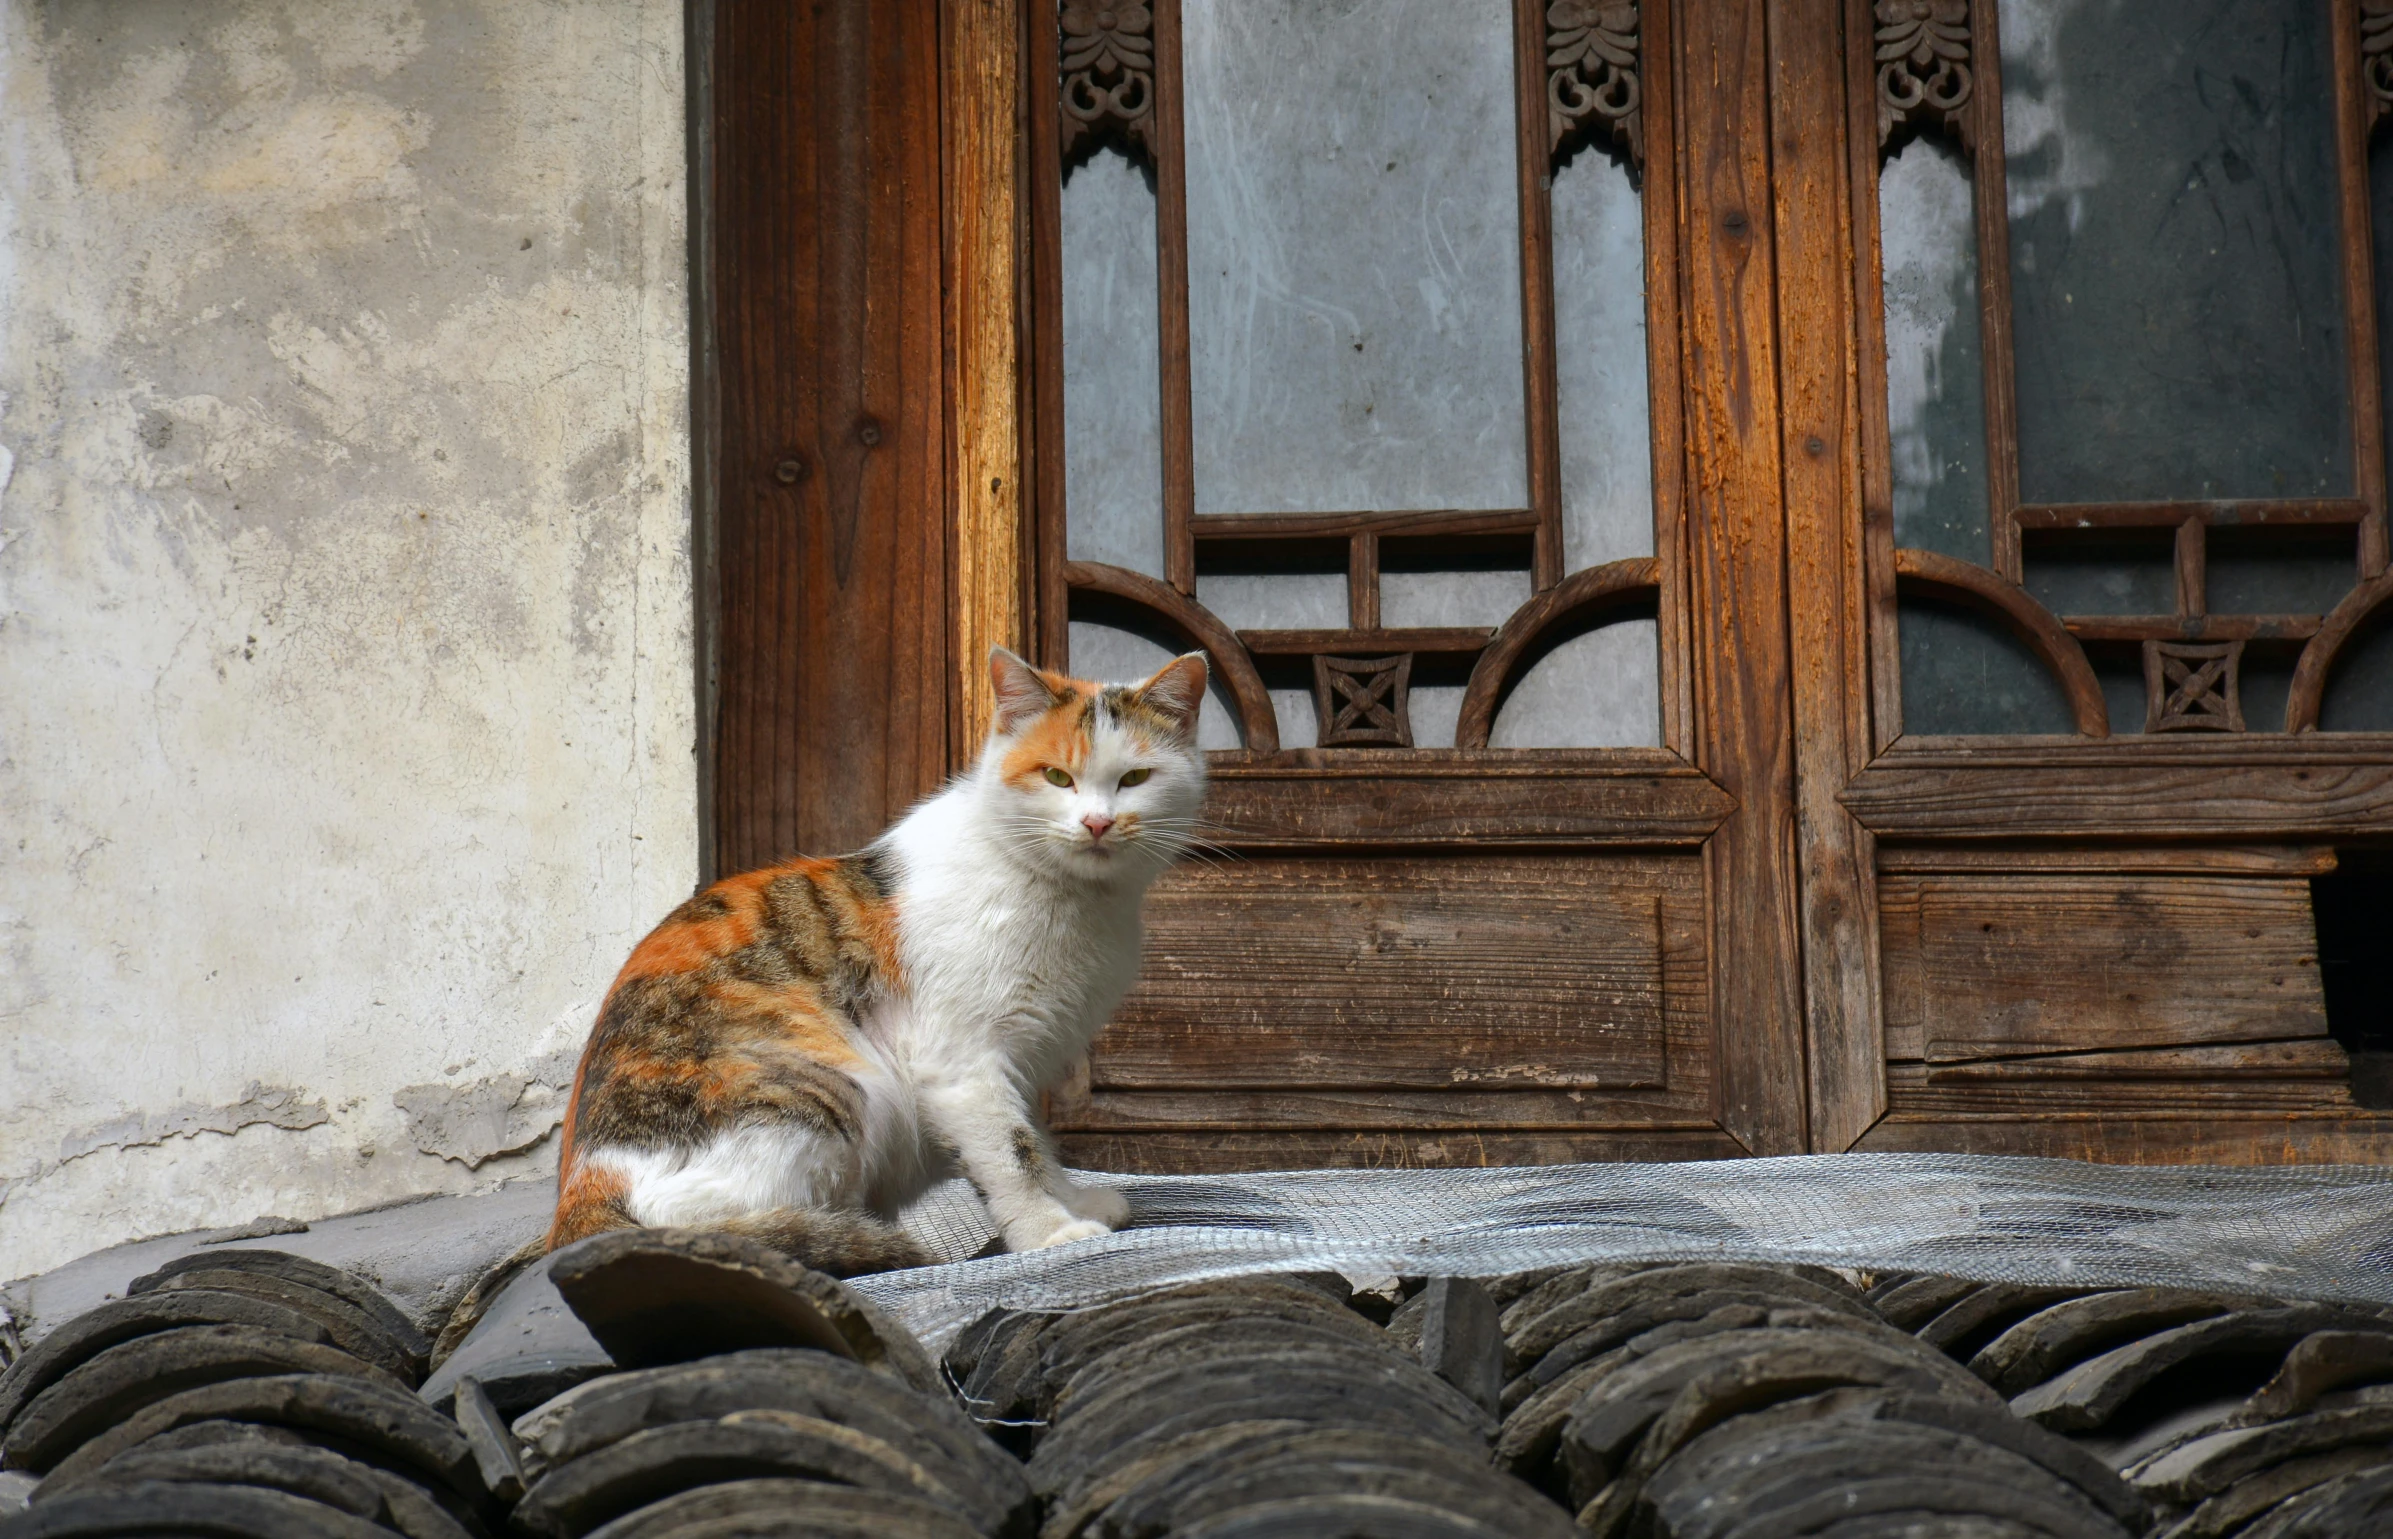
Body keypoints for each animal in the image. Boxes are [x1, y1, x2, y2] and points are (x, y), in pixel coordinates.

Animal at [547, 646, 1215, 1273]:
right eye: (1056, 776)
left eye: (1134, 778)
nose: (1098, 823)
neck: (1075, 900)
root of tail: (581, 1187)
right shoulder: (960, 1062)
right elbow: (1012, 1150)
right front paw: (1050, 1232)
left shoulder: (1023, 1058)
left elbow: (1037, 1140)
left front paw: (1073, 1201)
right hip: (832, 1090)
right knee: (679, 1220)